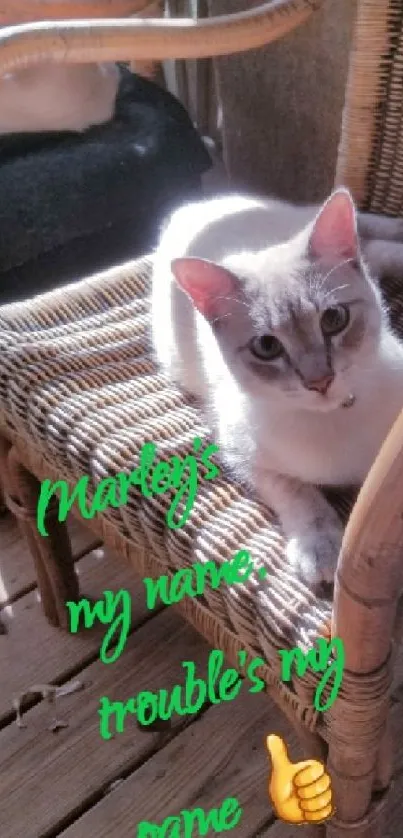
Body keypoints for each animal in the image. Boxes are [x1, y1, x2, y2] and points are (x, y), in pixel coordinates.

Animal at [151, 189, 403, 584]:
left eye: (334, 319)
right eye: (267, 347)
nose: (319, 380)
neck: (332, 420)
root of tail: (191, 207)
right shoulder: (245, 455)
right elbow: (298, 493)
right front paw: (320, 548)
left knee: (371, 235)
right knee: (373, 249)